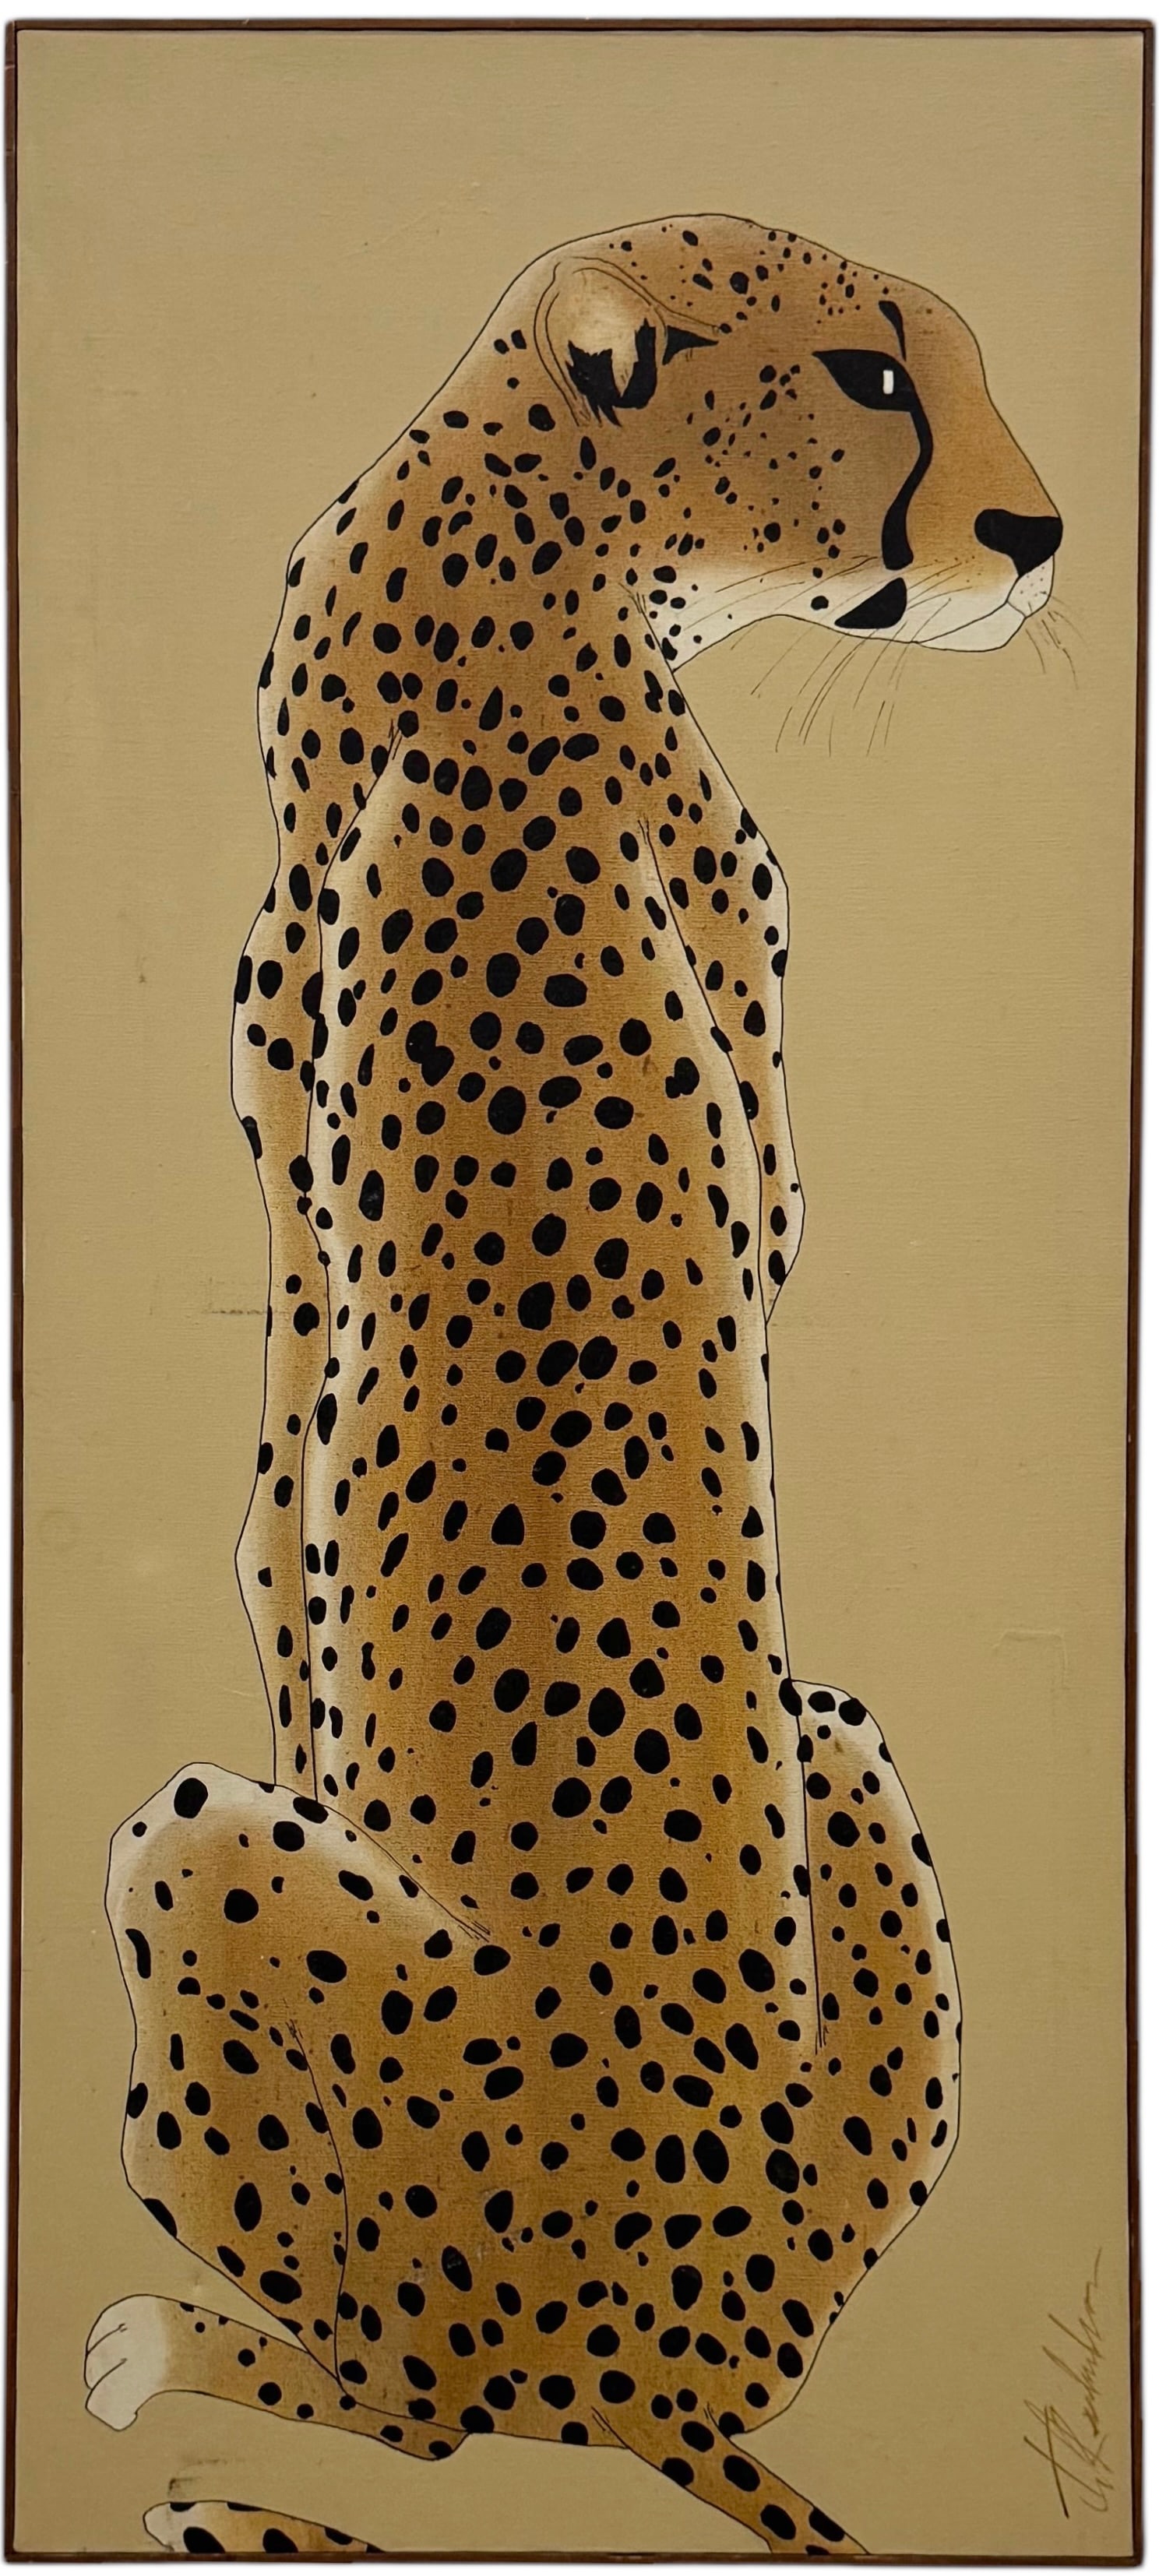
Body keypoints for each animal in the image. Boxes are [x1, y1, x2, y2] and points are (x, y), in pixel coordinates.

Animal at [84, 213, 1060, 2558]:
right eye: (872, 377)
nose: (1037, 537)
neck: (524, 518)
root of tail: (664, 2364)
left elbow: (281, 1499)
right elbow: (278, 1498)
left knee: (438, 2407)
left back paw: (180, 2366)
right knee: (434, 2404)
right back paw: (185, 2369)